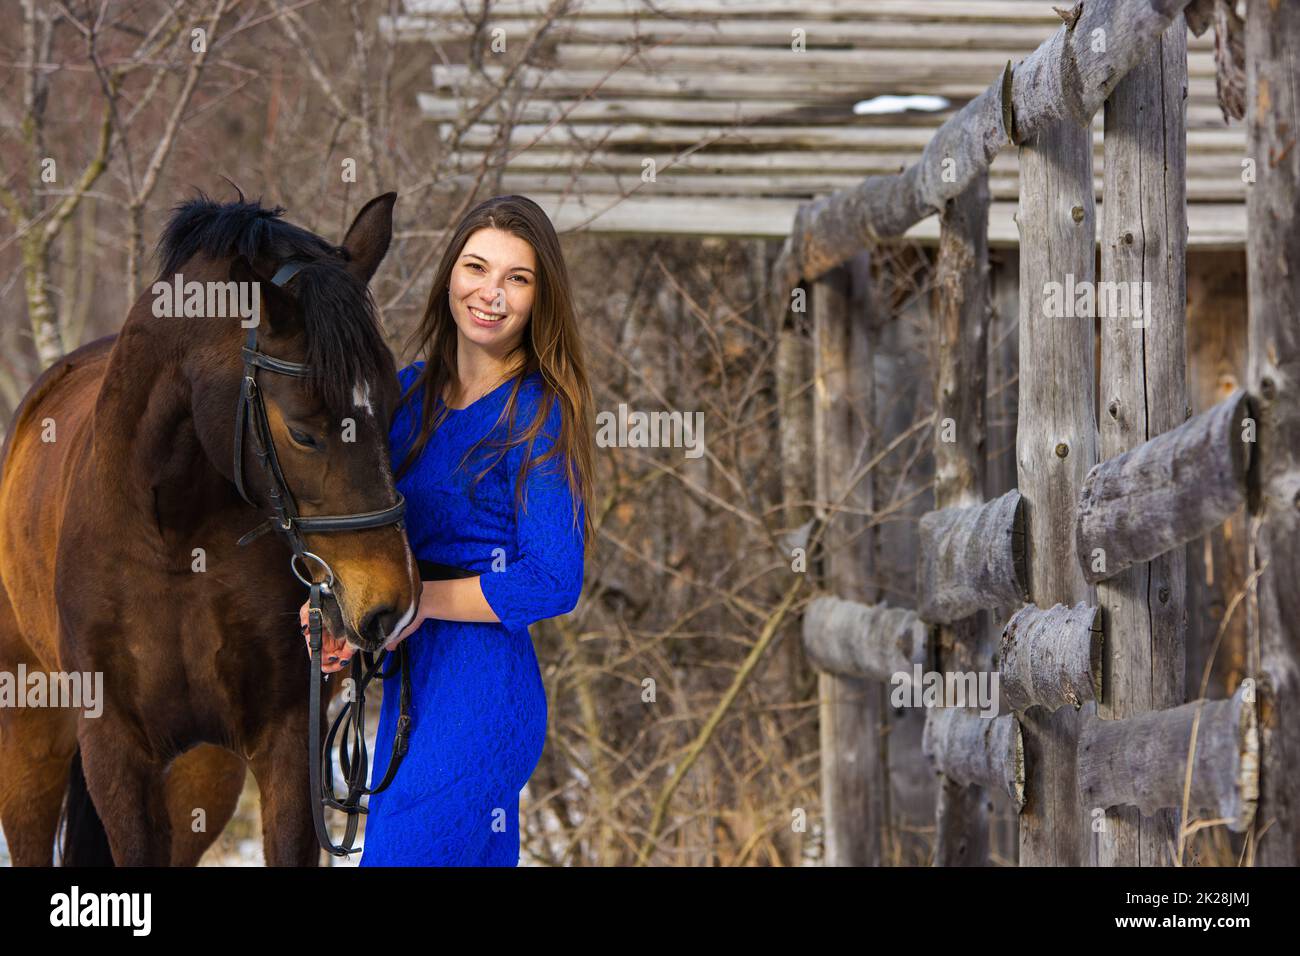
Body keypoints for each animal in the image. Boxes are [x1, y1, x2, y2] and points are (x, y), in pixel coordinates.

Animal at [0, 192, 416, 868]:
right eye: (303, 431)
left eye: (394, 408)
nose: (391, 603)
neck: (171, 537)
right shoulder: (116, 751)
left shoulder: (285, 741)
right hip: (31, 730)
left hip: (203, 771)